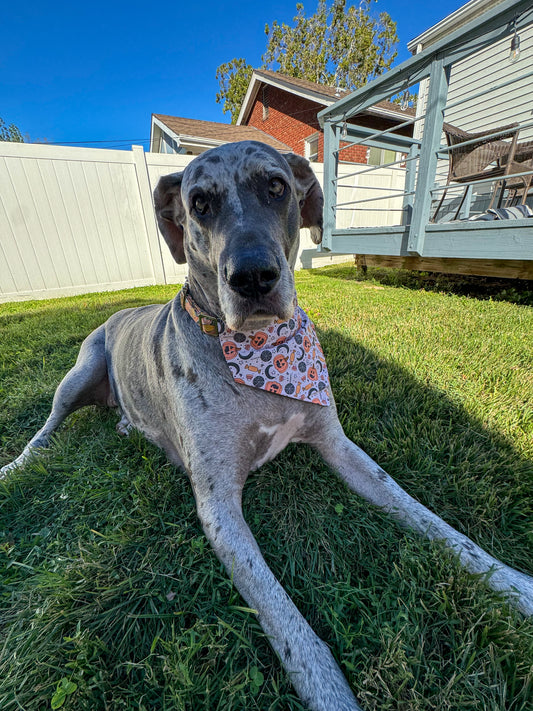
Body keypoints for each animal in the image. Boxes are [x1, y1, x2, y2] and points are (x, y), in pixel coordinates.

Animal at [1, 142, 532, 708]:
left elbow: (427, 518)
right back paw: (18, 465)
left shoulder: (340, 446)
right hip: (79, 372)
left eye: (277, 187)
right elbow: (282, 614)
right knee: (47, 426)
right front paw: (329, 692)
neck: (261, 351)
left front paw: (513, 583)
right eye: (199, 203)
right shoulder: (218, 508)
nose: (252, 276)